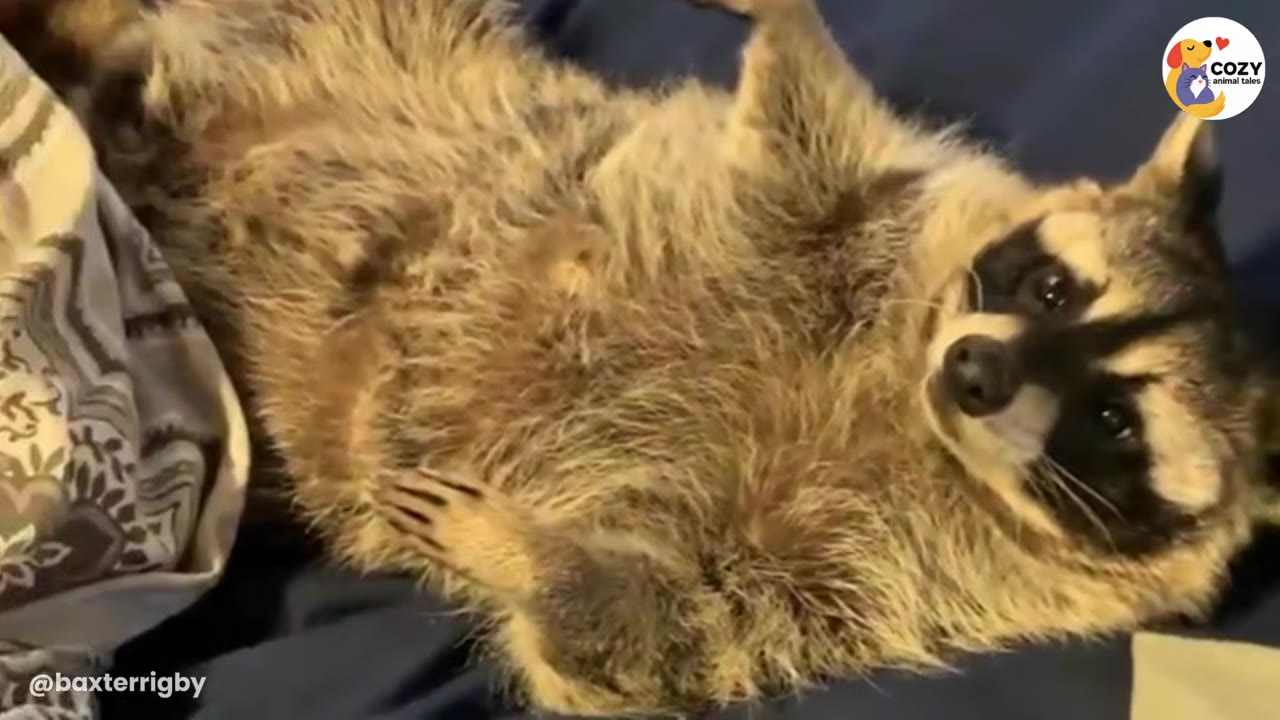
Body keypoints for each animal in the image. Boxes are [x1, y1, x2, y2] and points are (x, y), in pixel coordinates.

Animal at [12, 0, 1280, 715]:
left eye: (1112, 422)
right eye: (1051, 286)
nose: (976, 373)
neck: (894, 397)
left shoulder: (866, 584)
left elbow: (651, 641)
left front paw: (527, 559)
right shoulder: (844, 223)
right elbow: (798, 151)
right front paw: (781, 16)